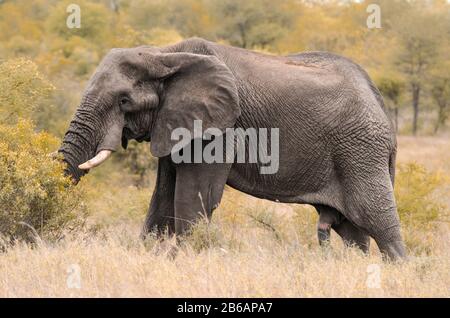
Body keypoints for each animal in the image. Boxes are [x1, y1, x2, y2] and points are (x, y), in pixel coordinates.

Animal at [59, 37, 408, 260]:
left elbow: (195, 197)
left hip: (360, 151)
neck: (163, 54)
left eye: (123, 101)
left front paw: (183, 261)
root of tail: (377, 98)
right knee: (353, 231)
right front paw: (149, 256)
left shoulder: (220, 129)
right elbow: (163, 196)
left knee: (376, 220)